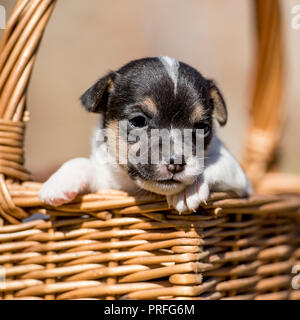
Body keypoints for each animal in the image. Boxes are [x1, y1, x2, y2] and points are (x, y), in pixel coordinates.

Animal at [38, 57, 252, 212]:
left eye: (202, 127)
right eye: (139, 121)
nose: (176, 162)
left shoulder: (239, 177)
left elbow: (211, 164)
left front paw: (190, 190)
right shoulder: (108, 183)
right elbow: (82, 163)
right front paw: (59, 182)